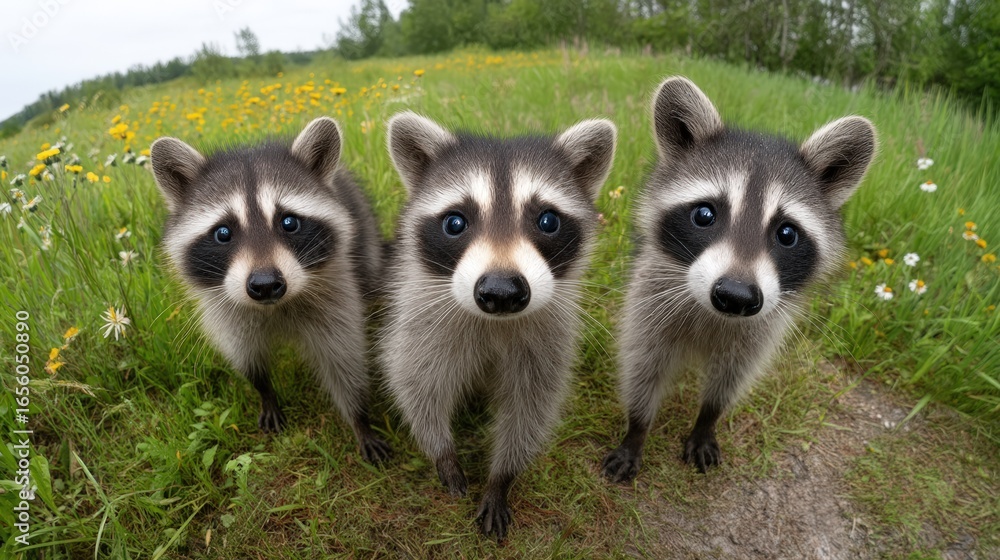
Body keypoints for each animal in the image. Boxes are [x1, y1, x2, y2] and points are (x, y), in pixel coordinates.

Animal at [150, 117, 391, 462]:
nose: (265, 285)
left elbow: (343, 359)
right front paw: (264, 390)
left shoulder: (337, 293)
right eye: (223, 233)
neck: (275, 308)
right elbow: (246, 357)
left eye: (289, 222)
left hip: (365, 235)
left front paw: (360, 419)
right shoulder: (226, 311)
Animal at [382, 111, 616, 539]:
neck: (496, 322)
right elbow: (416, 381)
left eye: (548, 220)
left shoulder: (548, 337)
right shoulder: (423, 316)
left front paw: (502, 476)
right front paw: (441, 450)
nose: (502, 291)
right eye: (455, 223)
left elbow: (531, 406)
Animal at [602, 77, 876, 481]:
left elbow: (731, 378)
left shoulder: (762, 327)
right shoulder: (650, 298)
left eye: (787, 234)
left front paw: (707, 420)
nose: (736, 295)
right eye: (704, 214)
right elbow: (642, 364)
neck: (715, 316)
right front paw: (637, 428)